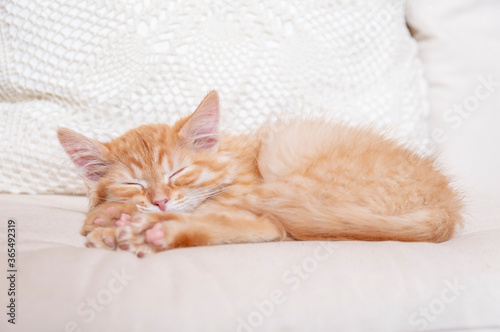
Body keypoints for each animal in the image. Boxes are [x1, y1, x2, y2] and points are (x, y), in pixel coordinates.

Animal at [56, 91, 462, 256]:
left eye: (178, 173)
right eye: (132, 183)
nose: (159, 202)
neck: (230, 160)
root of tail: (447, 206)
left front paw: (111, 220)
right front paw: (111, 215)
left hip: (286, 164)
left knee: (262, 224)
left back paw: (157, 230)